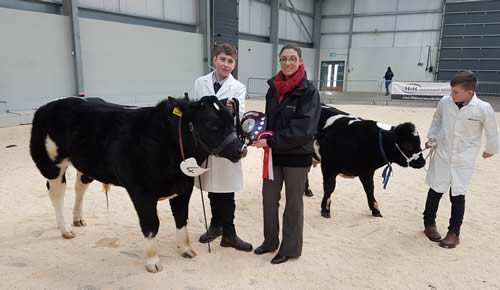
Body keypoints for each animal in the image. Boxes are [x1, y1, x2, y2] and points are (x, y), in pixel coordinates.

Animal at [29, 95, 244, 272]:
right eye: (212, 125)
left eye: (231, 120)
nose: (241, 149)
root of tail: (49, 105)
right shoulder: (142, 192)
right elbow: (151, 224)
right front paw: (152, 261)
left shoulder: (184, 187)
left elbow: (181, 218)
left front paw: (186, 249)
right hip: (51, 163)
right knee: (57, 193)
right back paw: (65, 228)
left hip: (86, 165)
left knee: (80, 186)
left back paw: (77, 219)